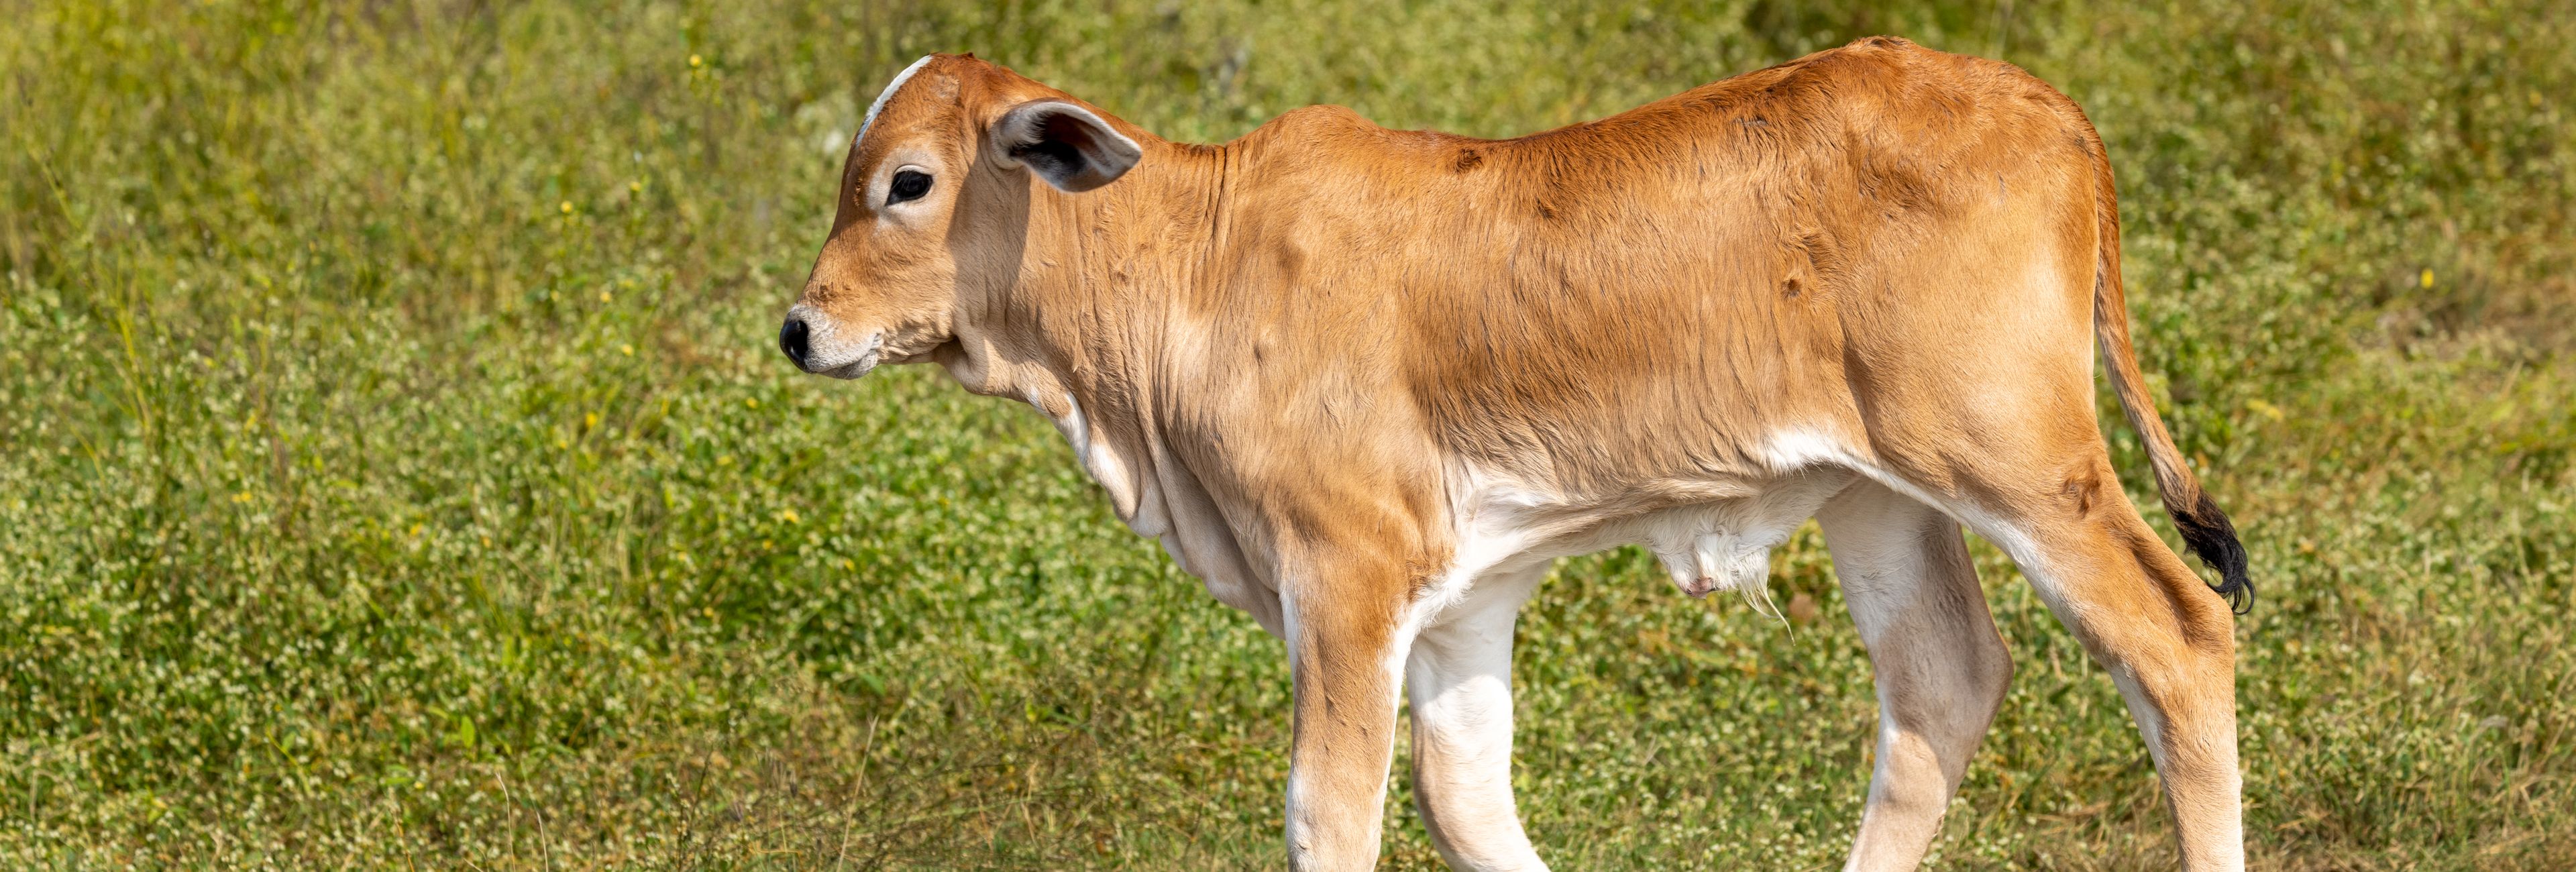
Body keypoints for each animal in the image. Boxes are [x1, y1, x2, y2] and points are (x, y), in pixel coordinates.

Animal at [777, 36, 2252, 871]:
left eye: (908, 182)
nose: (800, 326)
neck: (1196, 260)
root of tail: (2052, 108)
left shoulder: (1347, 574)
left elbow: (1334, 810)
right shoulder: (1462, 603)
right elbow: (1465, 798)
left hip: (2023, 458)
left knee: (2178, 637)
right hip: (1880, 493)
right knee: (1942, 685)